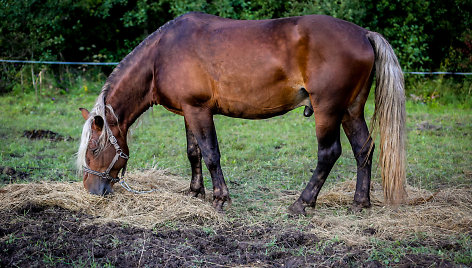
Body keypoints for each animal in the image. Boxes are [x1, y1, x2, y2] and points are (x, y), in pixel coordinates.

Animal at [77, 12, 406, 216]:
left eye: (94, 149)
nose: (92, 191)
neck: (162, 54)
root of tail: (363, 34)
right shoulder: (187, 111)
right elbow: (194, 153)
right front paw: (195, 193)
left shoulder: (199, 110)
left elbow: (211, 154)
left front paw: (220, 199)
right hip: (351, 110)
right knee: (364, 149)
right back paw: (360, 203)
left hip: (328, 109)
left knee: (329, 153)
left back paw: (301, 204)